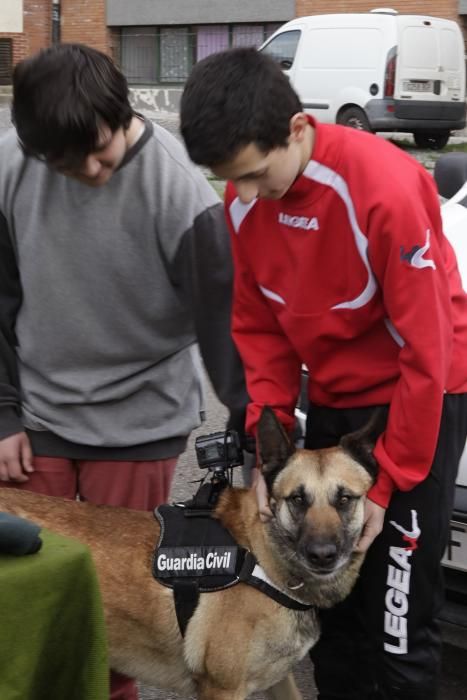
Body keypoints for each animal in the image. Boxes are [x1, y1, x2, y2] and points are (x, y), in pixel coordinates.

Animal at [0, 408, 378, 696]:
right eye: (297, 499)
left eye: (345, 498)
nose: (322, 555)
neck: (260, 559)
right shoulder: (223, 690)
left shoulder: (277, 680)